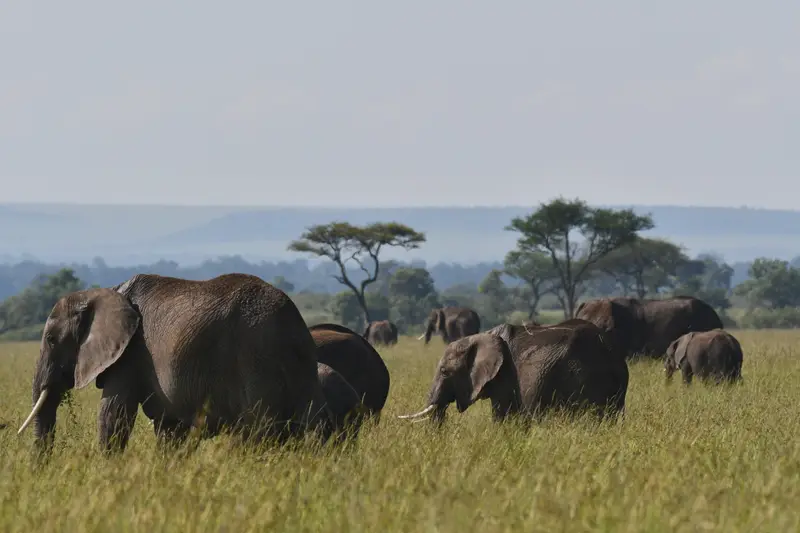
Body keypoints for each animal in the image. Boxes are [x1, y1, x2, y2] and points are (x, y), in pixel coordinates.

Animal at [17, 273, 333, 455]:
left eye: (51, 340)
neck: (105, 292)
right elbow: (169, 429)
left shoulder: (131, 352)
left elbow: (115, 414)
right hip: (299, 364)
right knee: (313, 426)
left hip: (255, 359)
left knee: (259, 432)